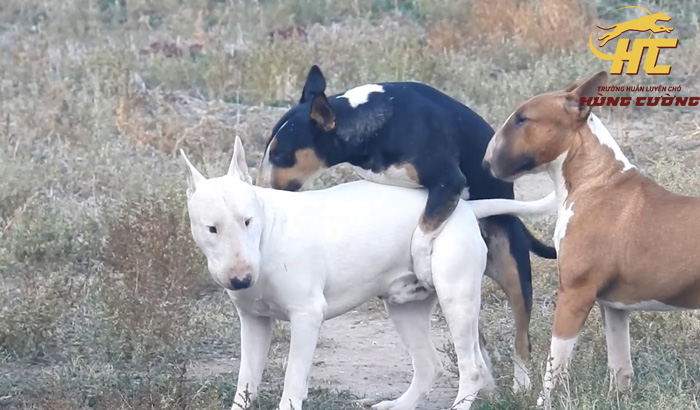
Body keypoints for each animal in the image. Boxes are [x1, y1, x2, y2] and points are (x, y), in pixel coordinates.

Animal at [254, 65, 556, 390]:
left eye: (281, 155)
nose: (258, 188)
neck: (378, 118)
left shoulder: (448, 183)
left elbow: (423, 232)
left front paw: (421, 264)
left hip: (513, 270)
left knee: (521, 337)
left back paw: (521, 384)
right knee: (477, 338)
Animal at [484, 72, 700, 406]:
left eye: (522, 119)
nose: (484, 161)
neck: (595, 180)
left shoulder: (575, 295)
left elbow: (554, 369)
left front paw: (543, 403)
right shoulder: (614, 307)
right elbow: (620, 366)